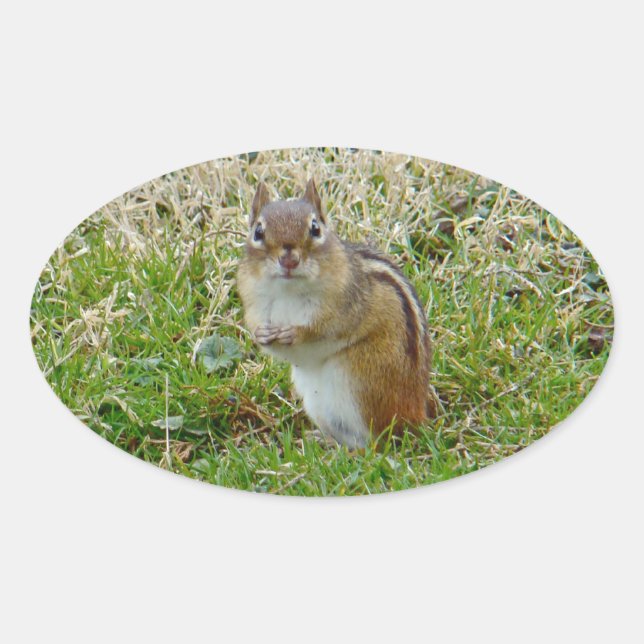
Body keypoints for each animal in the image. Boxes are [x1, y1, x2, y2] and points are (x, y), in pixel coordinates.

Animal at [237, 179, 434, 449]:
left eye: (315, 228)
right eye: (258, 232)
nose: (289, 260)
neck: (288, 290)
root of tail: (415, 416)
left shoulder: (346, 306)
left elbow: (324, 329)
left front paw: (296, 334)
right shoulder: (255, 304)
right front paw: (263, 334)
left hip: (360, 379)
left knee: (374, 445)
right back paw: (324, 441)